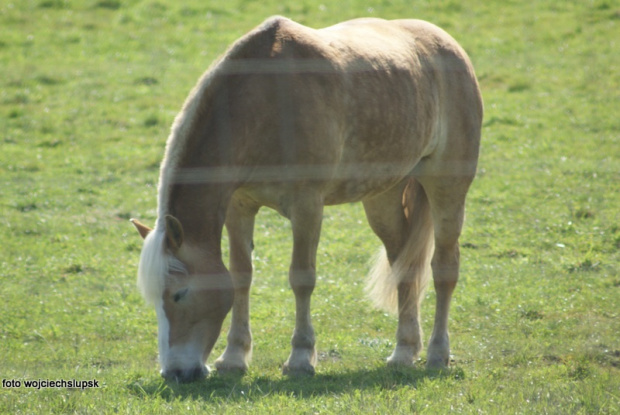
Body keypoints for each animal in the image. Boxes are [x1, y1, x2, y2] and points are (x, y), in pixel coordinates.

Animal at [131, 16, 484, 382]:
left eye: (180, 294)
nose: (174, 372)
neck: (265, 102)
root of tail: (448, 45)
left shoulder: (307, 207)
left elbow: (301, 278)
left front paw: (300, 357)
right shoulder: (239, 206)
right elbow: (241, 276)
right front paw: (234, 357)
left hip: (447, 188)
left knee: (444, 268)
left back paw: (437, 353)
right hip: (383, 198)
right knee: (404, 265)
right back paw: (404, 351)